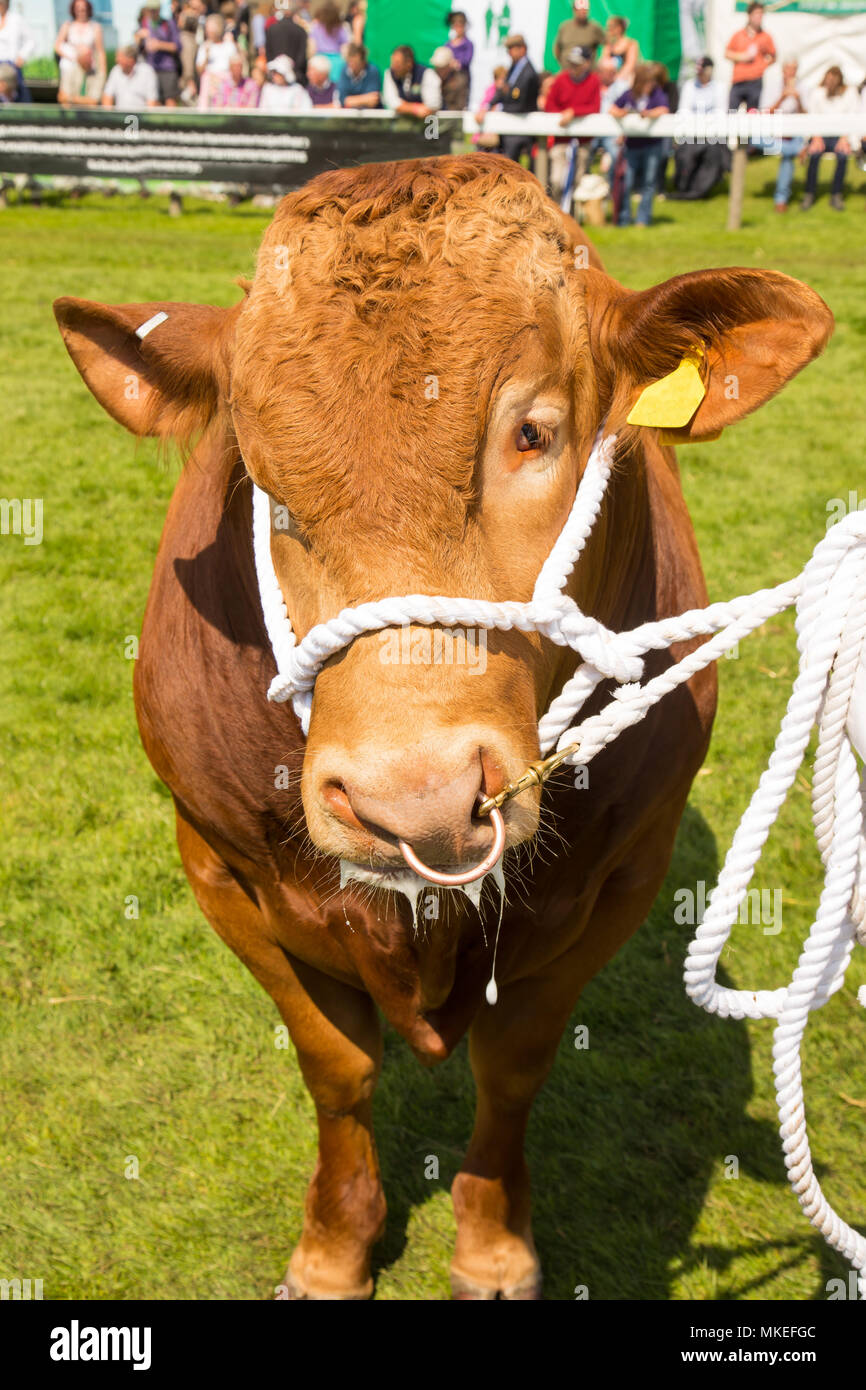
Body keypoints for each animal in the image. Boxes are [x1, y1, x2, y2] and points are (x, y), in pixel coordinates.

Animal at [54, 154, 834, 1301]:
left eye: (533, 432)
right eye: (259, 474)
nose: (408, 798)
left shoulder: (622, 876)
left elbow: (513, 1062)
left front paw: (492, 1243)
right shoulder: (217, 864)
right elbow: (337, 1068)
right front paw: (334, 1248)